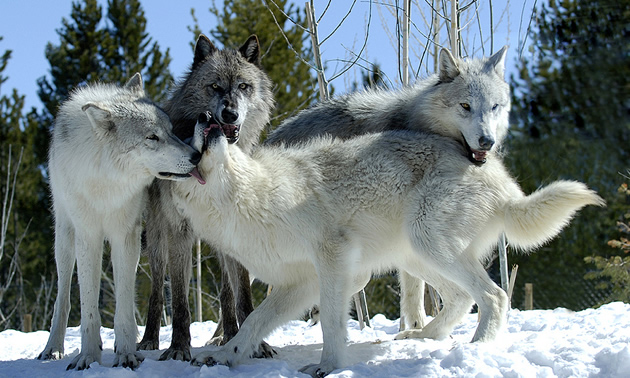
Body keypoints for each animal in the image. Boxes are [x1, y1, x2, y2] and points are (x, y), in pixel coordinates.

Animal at [37, 73, 200, 370]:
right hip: (64, 239)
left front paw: (125, 354)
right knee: (63, 297)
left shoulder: (125, 234)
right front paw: (88, 357)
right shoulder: (87, 235)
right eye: (151, 137)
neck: (107, 181)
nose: (196, 156)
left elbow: (124, 303)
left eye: (171, 130)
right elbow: (88, 307)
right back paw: (52, 348)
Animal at [266, 46, 512, 330]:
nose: (487, 141)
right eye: (465, 106)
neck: (417, 122)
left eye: (494, 106)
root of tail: (271, 137)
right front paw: (416, 328)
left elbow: (413, 290)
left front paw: (417, 329)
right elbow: (413, 290)